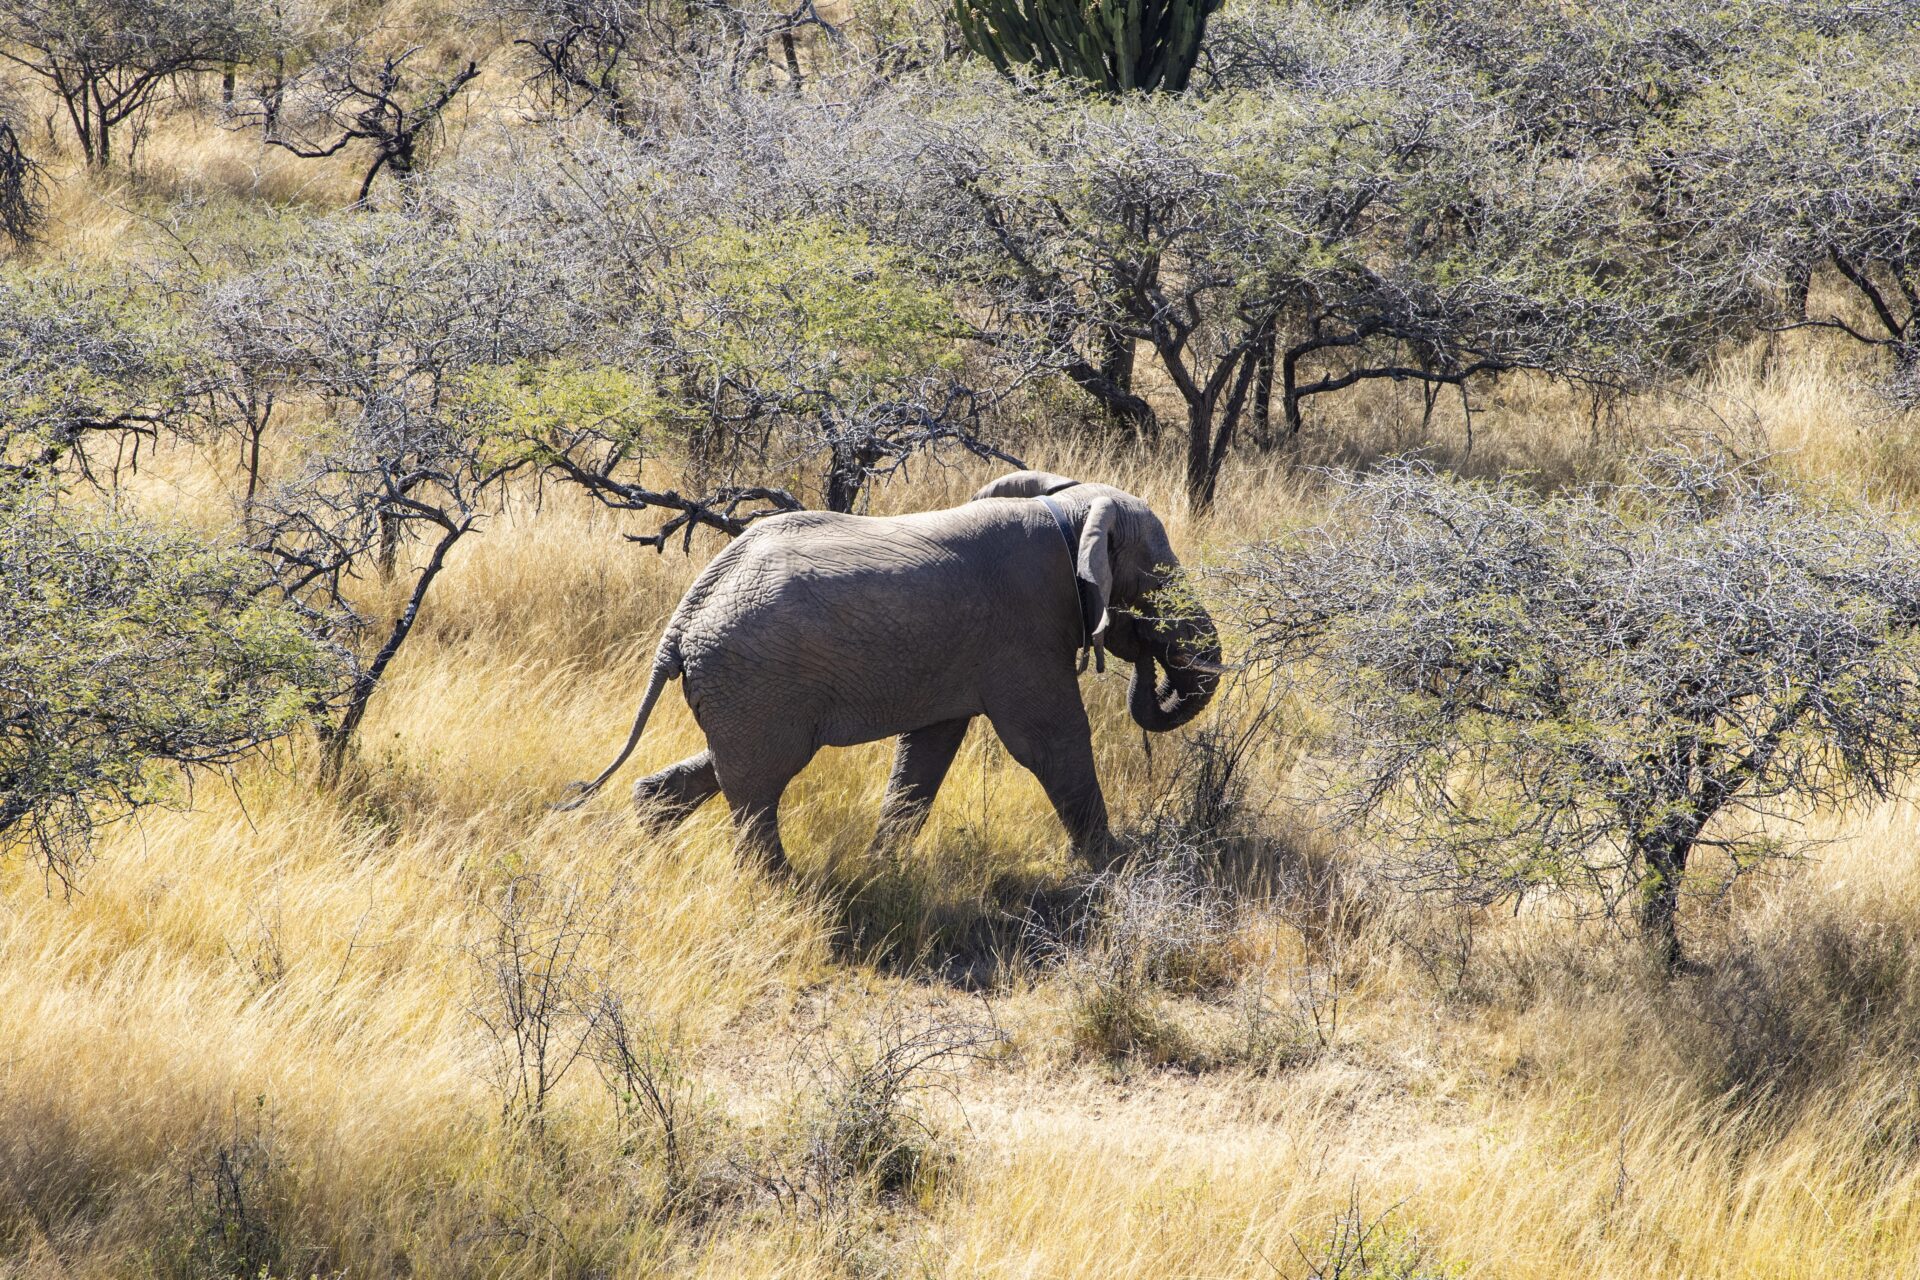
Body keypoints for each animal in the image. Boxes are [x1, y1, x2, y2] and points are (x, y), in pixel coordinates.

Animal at [557, 469, 1222, 870]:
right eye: (1159, 581)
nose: (1144, 651)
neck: (1067, 509)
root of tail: (682, 619)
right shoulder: (1025, 632)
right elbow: (1052, 741)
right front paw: (1116, 866)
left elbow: (926, 751)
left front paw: (884, 866)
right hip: (755, 678)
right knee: (761, 783)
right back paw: (783, 889)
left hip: (742, 686)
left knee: (733, 766)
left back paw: (654, 830)